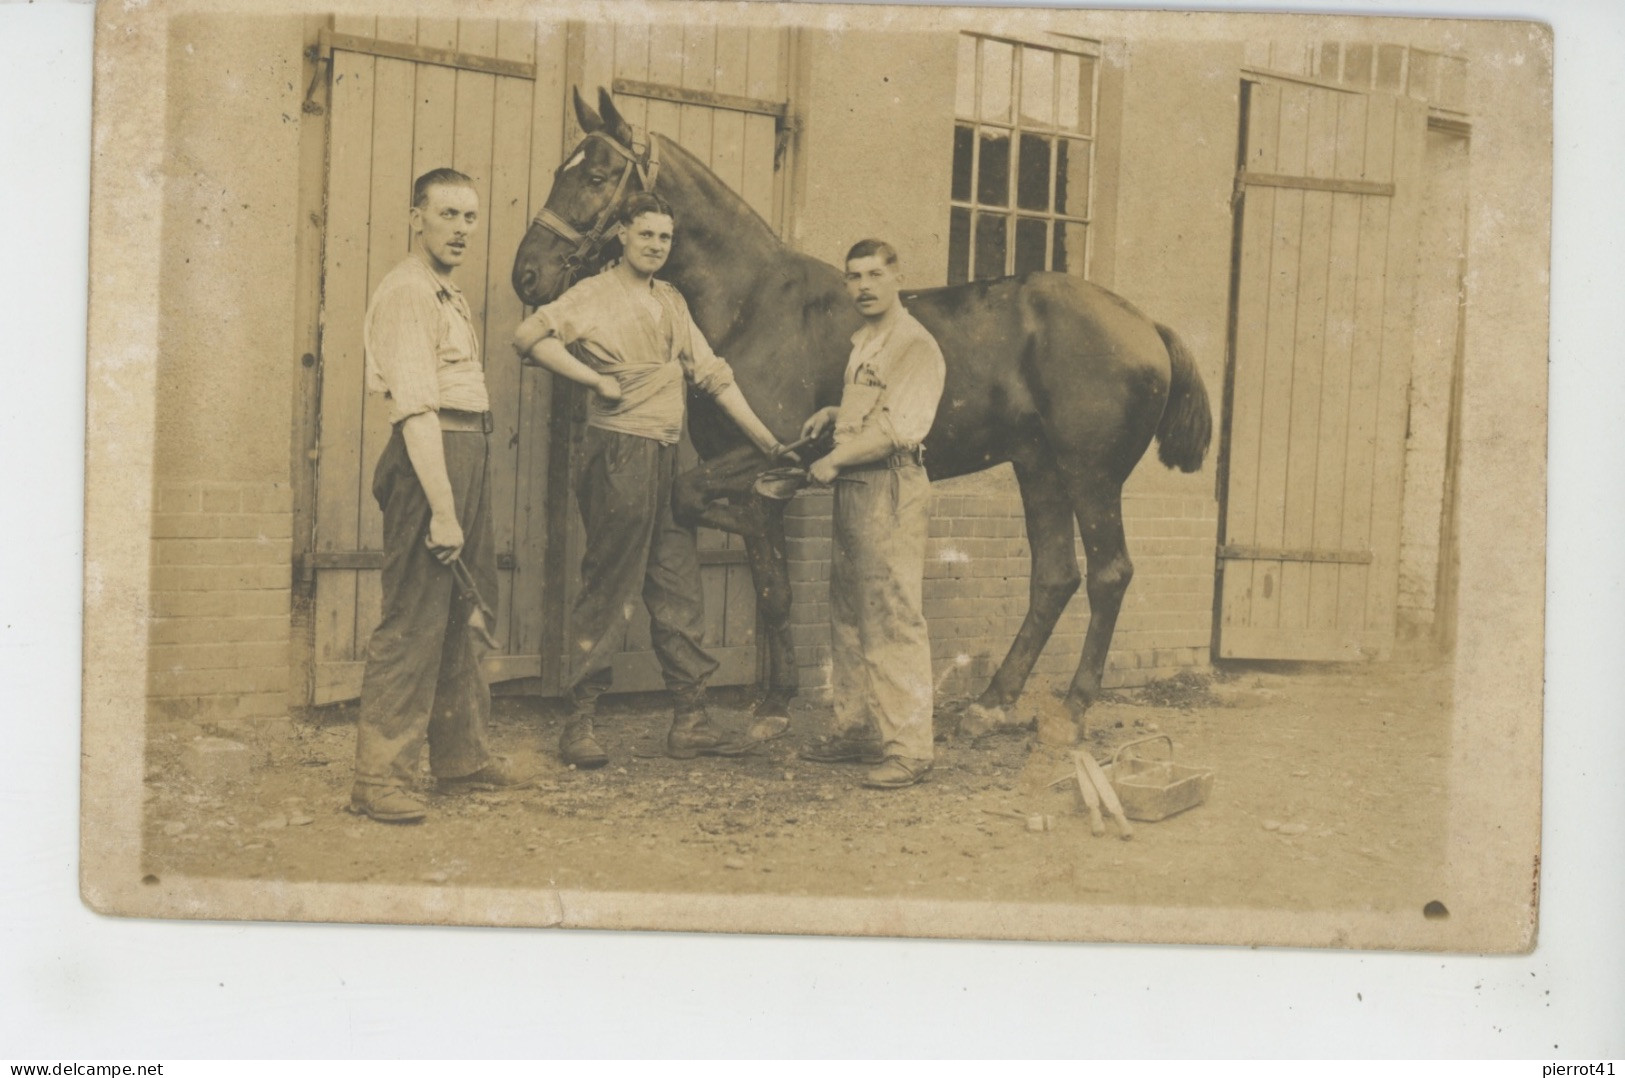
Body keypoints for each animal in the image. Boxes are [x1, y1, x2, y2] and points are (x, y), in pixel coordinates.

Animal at [507, 90, 1209, 741]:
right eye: (561, 170)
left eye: (598, 176)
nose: (527, 274)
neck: (754, 302)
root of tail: (1146, 324)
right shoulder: (745, 464)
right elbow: (770, 581)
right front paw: (773, 703)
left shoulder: (757, 452)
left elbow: (698, 503)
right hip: (1038, 468)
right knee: (1056, 576)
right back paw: (991, 703)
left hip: (1090, 475)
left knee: (1109, 574)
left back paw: (1074, 706)